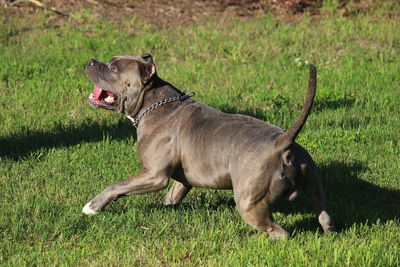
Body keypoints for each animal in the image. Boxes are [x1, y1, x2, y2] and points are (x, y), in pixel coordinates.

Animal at [81, 54, 334, 241]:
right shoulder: (182, 179)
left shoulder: (154, 175)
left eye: (114, 68)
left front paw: (92, 206)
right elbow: (172, 196)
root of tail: (282, 143)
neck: (154, 103)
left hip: (249, 202)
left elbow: (116, 186)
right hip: (314, 186)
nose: (91, 61)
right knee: (325, 217)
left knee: (281, 232)